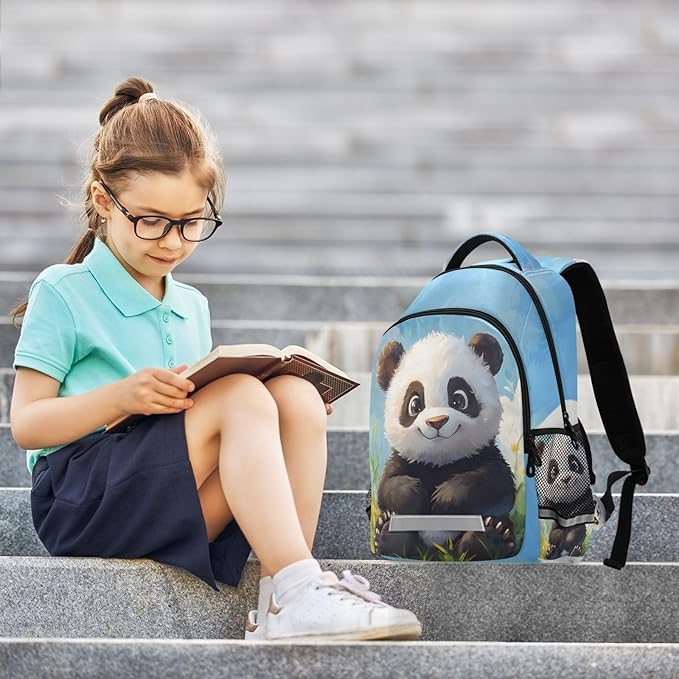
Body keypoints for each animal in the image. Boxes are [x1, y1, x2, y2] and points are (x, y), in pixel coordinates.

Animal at [373, 330, 518, 561]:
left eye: (459, 399)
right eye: (415, 404)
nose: (437, 421)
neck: (440, 462)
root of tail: (439, 553)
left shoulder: (485, 454)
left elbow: (496, 484)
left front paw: (444, 499)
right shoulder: (403, 459)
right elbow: (388, 486)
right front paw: (415, 495)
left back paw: (491, 537)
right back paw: (389, 533)